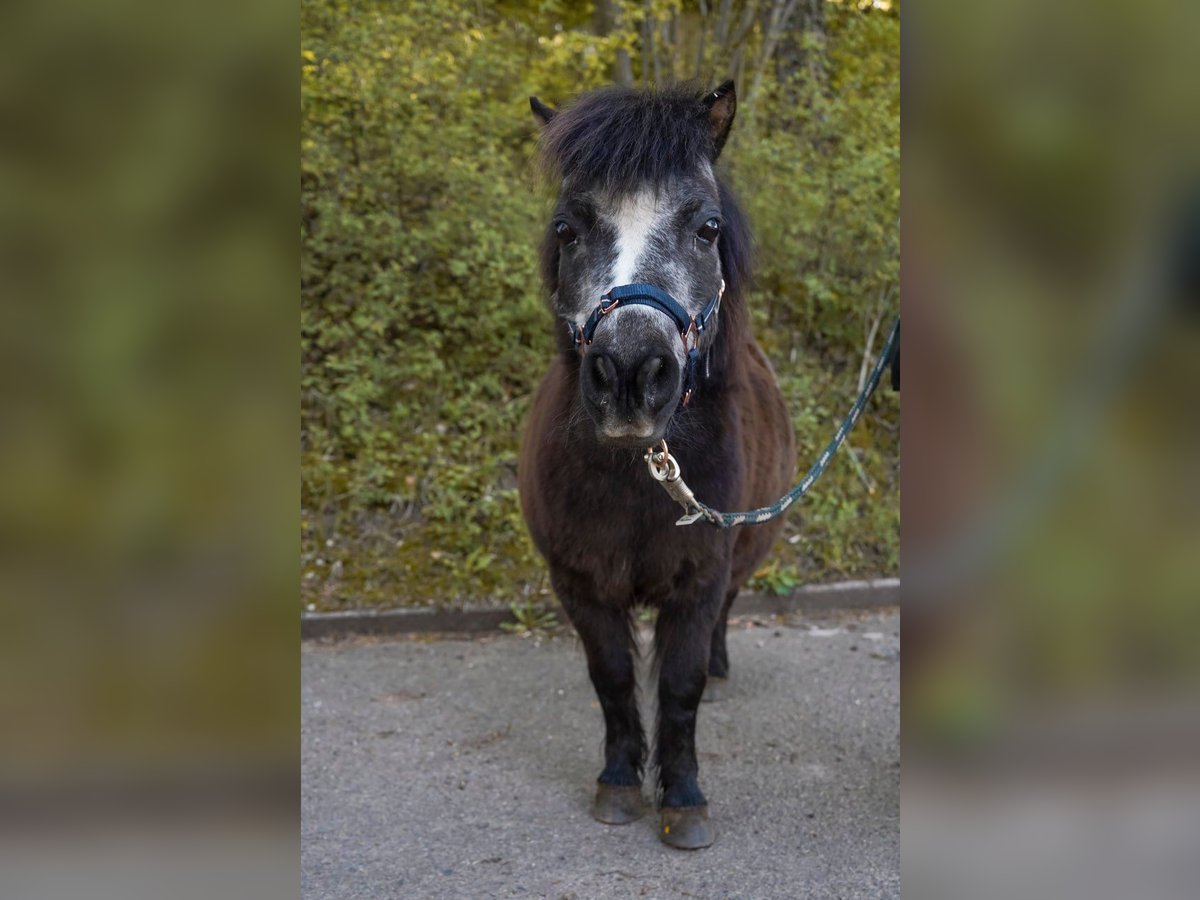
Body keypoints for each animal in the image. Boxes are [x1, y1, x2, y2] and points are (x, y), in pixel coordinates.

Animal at [518, 81, 792, 849]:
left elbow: (679, 686)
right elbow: (613, 677)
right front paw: (619, 782)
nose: (631, 376)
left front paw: (684, 797)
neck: (640, 473)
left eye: (706, 228)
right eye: (566, 230)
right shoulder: (579, 582)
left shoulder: (699, 580)